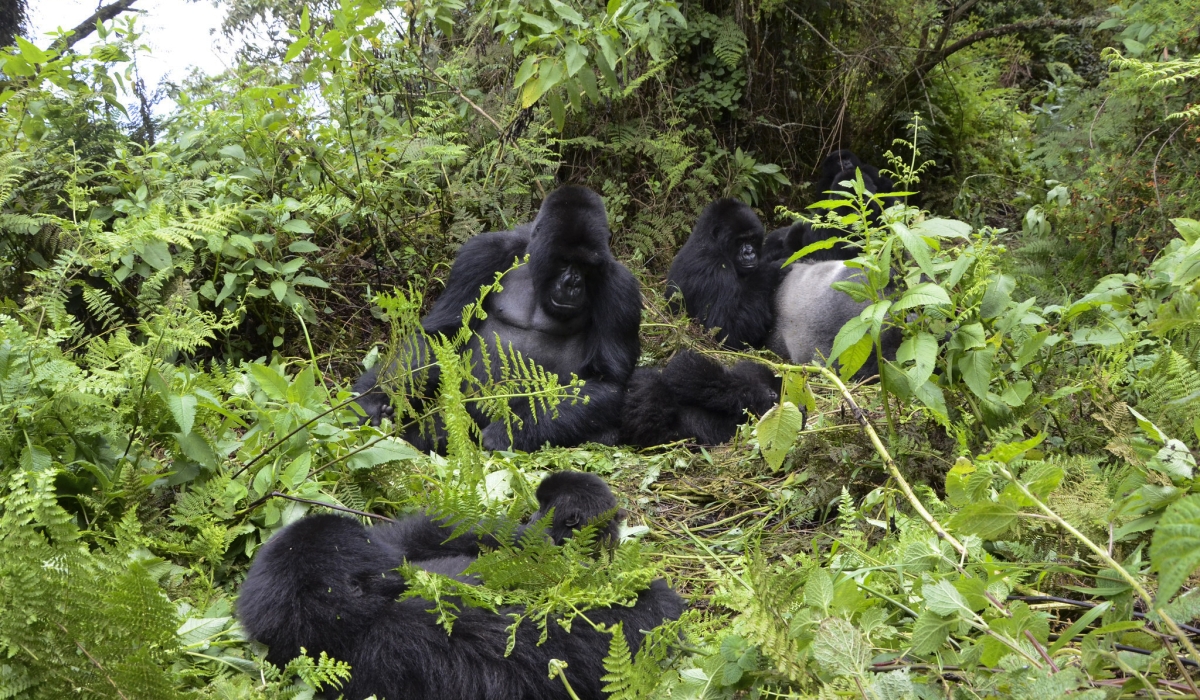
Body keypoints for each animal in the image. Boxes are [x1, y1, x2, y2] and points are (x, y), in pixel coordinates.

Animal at [350, 183, 643, 451]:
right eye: (563, 261)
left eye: (586, 266)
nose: (573, 284)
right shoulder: (481, 254)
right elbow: (441, 335)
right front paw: (372, 401)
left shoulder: (621, 290)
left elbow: (607, 381)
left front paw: (505, 434)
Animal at [667, 198, 777, 348]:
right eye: (740, 240)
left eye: (752, 239)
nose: (749, 252)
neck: (711, 242)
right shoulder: (715, 269)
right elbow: (725, 330)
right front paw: (773, 269)